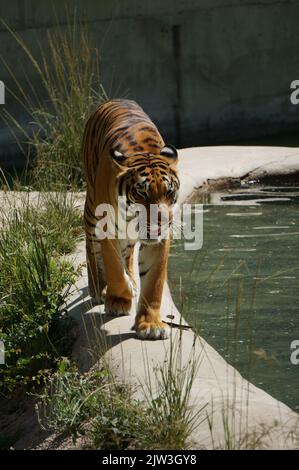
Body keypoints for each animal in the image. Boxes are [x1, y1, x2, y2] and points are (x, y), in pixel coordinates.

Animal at [82, 100, 179, 342]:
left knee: (127, 253)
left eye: (169, 192)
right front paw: (118, 300)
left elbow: (153, 282)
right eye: (142, 192)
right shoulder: (107, 229)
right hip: (91, 211)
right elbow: (114, 269)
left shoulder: (160, 241)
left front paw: (151, 325)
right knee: (91, 248)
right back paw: (99, 288)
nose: (161, 221)